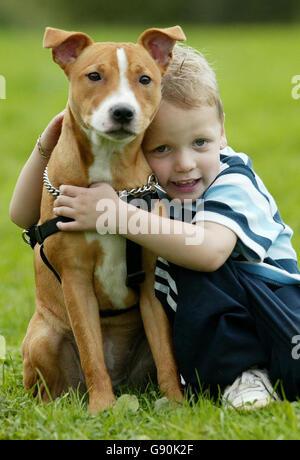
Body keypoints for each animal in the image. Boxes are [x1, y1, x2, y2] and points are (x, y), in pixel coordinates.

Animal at [22, 26, 185, 414]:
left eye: (145, 79)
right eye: (94, 76)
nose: (123, 111)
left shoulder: (149, 283)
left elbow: (166, 354)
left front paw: (176, 404)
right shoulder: (75, 279)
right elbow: (91, 351)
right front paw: (102, 407)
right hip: (43, 338)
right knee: (51, 387)